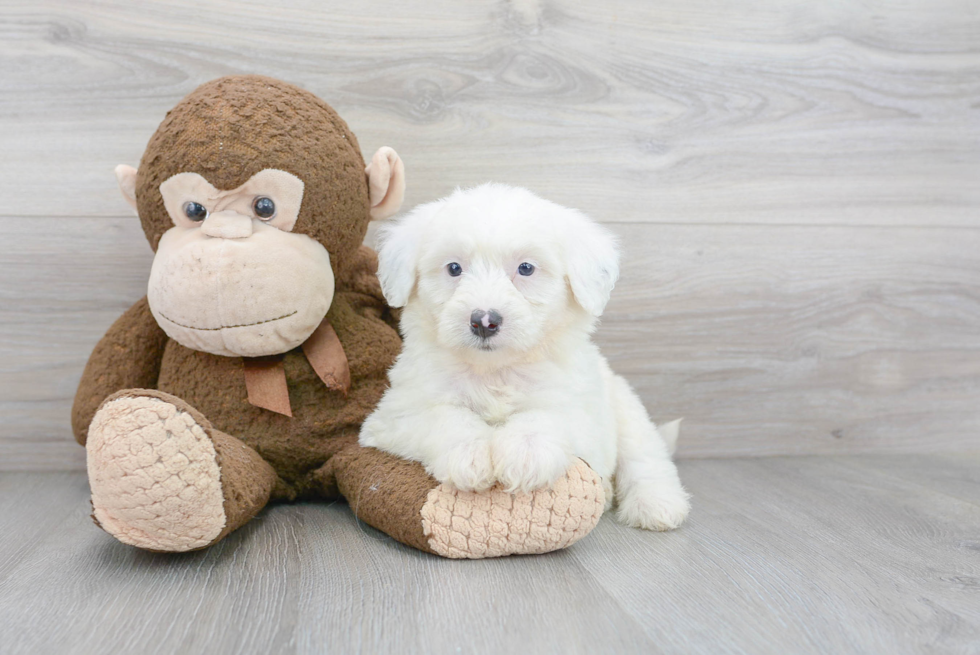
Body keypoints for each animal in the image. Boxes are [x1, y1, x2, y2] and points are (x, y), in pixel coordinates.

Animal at [358, 182, 688, 532]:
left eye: (526, 268)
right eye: (454, 269)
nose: (484, 321)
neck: (495, 371)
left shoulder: (584, 412)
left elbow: (547, 415)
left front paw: (525, 453)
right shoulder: (394, 415)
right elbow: (443, 416)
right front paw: (469, 454)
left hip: (626, 406)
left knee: (646, 457)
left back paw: (656, 504)